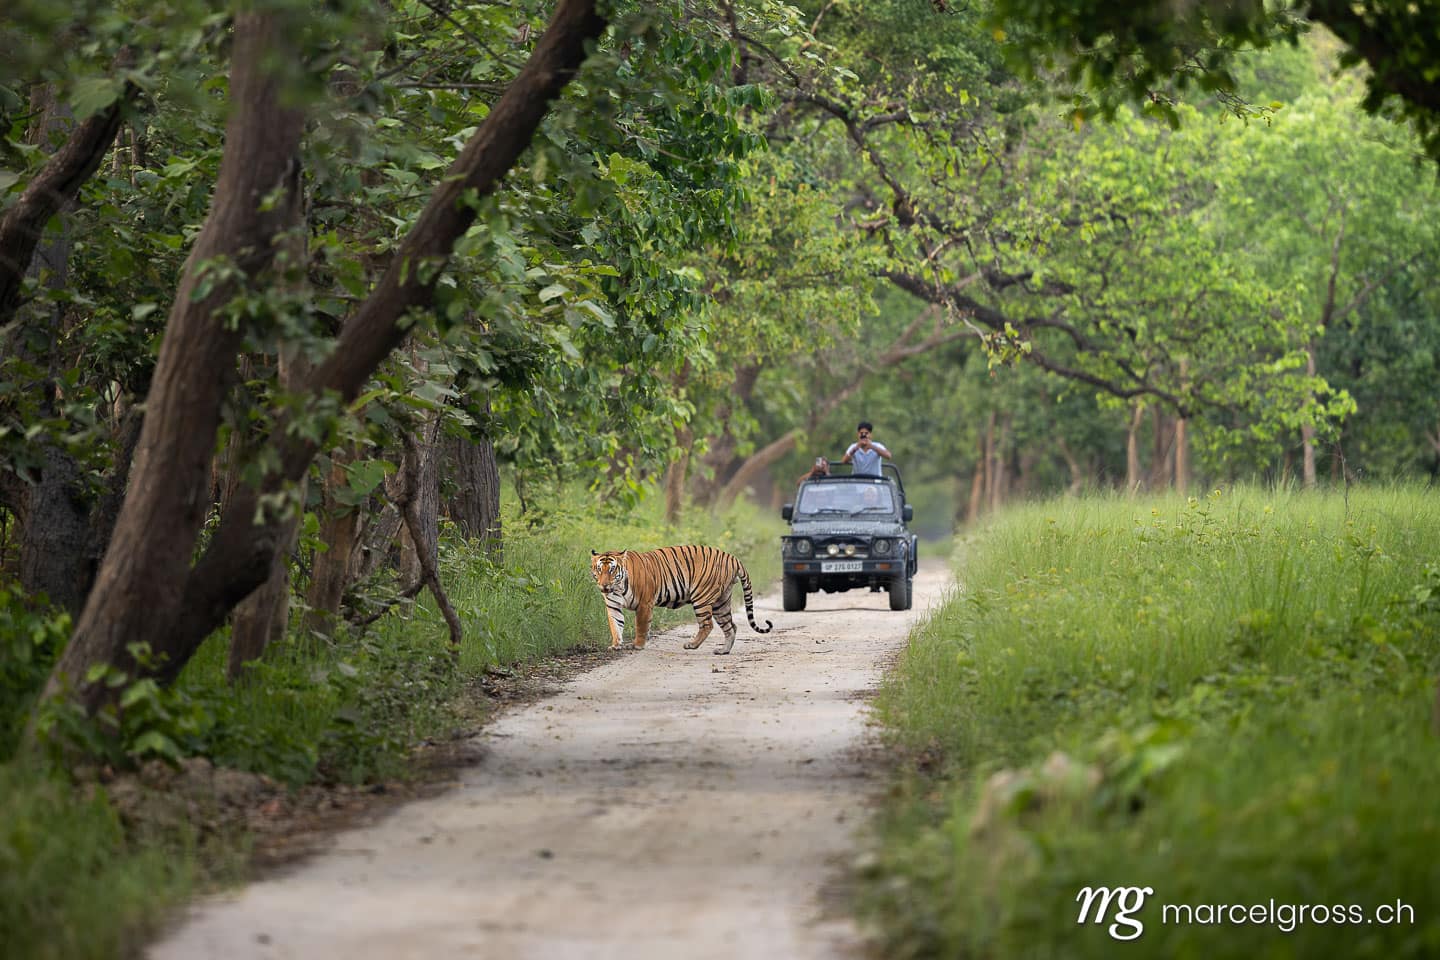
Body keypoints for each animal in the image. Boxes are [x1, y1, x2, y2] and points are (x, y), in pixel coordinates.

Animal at [590, 544, 774, 655]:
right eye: (599, 569)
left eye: (612, 570)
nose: (604, 585)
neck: (617, 587)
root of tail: (732, 557)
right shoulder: (613, 605)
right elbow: (615, 625)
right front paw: (616, 644)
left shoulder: (644, 604)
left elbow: (641, 627)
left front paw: (637, 645)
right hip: (721, 602)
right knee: (730, 626)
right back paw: (723, 651)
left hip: (702, 597)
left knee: (707, 625)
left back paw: (692, 645)